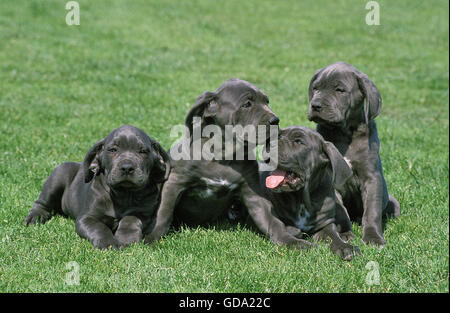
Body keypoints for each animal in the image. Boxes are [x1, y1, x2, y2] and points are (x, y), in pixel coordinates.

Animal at [25, 124, 171, 249]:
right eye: (112, 150)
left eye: (143, 151)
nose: (127, 167)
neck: (123, 194)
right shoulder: (86, 218)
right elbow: (99, 228)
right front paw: (108, 243)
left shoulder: (144, 214)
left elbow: (130, 220)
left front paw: (126, 238)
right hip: (58, 176)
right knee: (41, 203)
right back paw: (35, 217)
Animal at [146, 78, 314, 249]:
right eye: (247, 104)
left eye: (267, 101)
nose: (275, 121)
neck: (223, 154)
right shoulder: (174, 181)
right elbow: (164, 212)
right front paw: (151, 238)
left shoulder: (253, 193)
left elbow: (270, 220)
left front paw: (291, 242)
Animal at [262, 125, 360, 260]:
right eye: (279, 135)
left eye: (298, 141)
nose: (268, 142)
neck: (301, 200)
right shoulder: (277, 227)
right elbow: (289, 239)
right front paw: (306, 245)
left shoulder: (325, 225)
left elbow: (334, 237)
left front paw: (345, 247)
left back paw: (346, 235)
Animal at [308, 61, 400, 246]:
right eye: (315, 88)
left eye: (340, 90)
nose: (315, 105)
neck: (344, 133)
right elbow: (340, 210)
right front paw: (342, 234)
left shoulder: (372, 178)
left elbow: (371, 211)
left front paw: (373, 237)